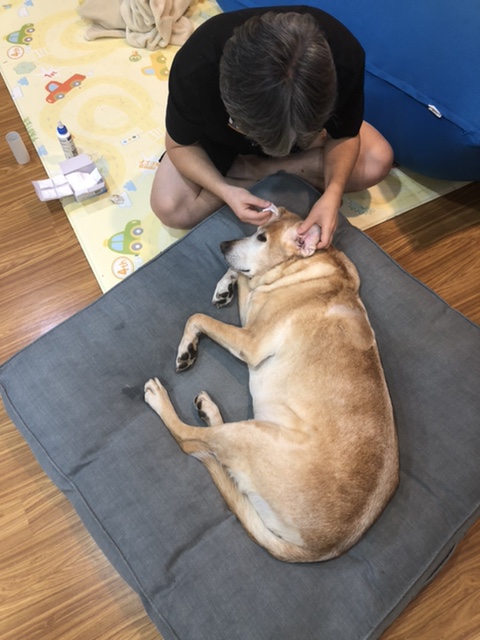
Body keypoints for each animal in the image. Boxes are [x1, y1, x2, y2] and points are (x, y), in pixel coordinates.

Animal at [144, 208, 399, 563]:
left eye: (262, 239)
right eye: (256, 230)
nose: (223, 244)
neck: (303, 266)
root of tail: (316, 549)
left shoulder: (250, 340)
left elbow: (197, 317)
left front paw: (187, 347)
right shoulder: (250, 312)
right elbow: (242, 278)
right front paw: (225, 285)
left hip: (250, 435)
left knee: (190, 440)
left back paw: (159, 398)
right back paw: (208, 410)